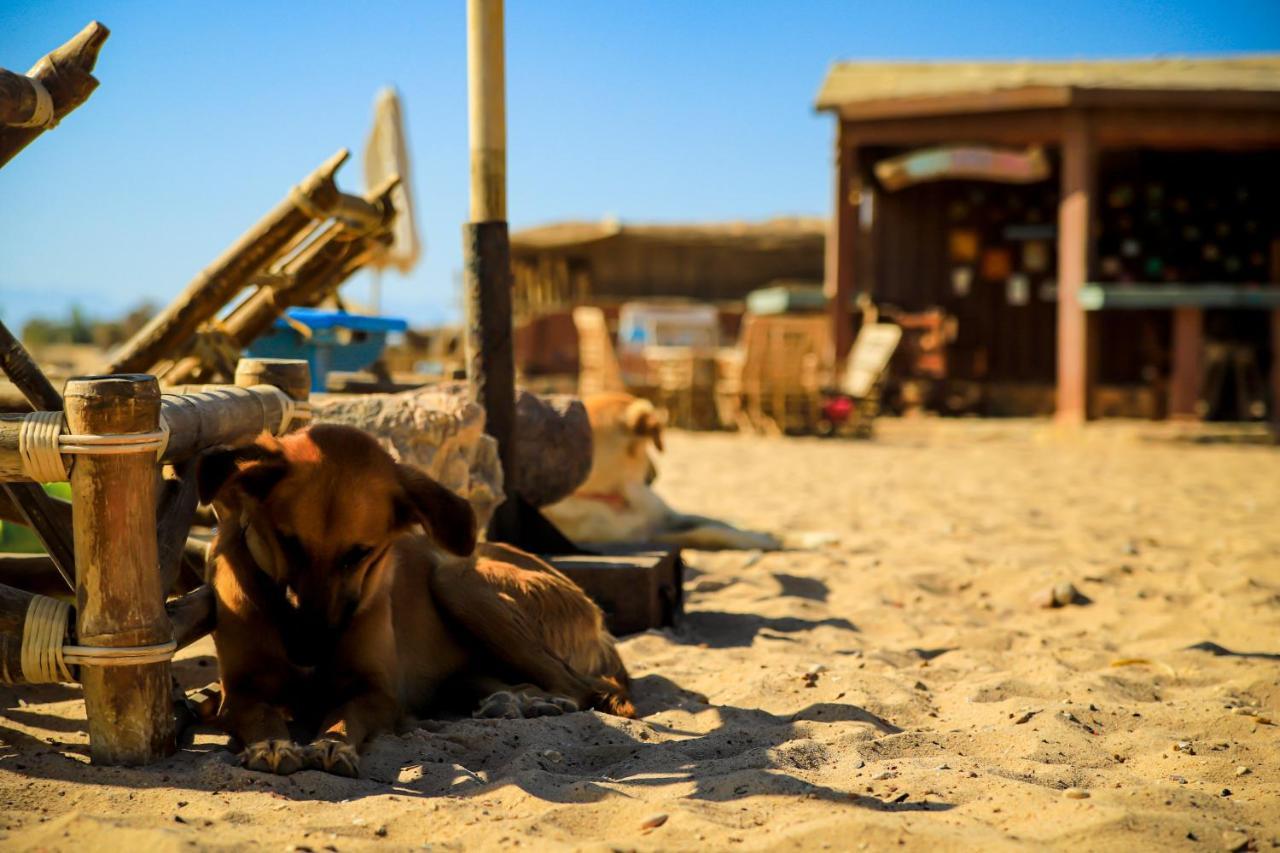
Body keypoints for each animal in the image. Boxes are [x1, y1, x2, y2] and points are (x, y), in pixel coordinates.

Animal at [195, 422, 634, 773]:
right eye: (288, 542)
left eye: (360, 554)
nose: (308, 651)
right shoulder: (241, 691)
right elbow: (261, 716)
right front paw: (272, 743)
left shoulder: (377, 692)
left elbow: (344, 716)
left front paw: (332, 744)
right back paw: (511, 701)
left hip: (457, 580)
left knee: (577, 686)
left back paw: (533, 702)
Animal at [540, 394, 778, 550]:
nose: (655, 475)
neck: (623, 496)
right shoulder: (647, 537)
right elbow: (703, 532)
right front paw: (760, 541)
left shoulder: (668, 515)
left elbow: (717, 523)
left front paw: (759, 535)